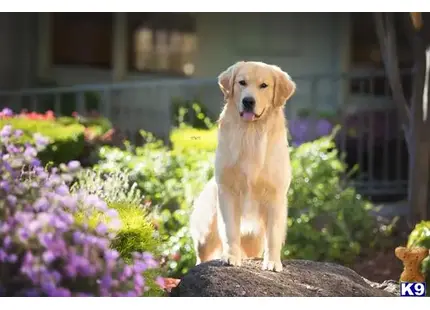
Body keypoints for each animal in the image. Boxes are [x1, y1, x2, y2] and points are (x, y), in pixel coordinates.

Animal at [189, 60, 296, 272]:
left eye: (264, 85)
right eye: (242, 83)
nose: (248, 101)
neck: (251, 133)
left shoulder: (275, 197)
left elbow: (273, 236)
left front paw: (272, 262)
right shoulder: (229, 192)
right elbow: (230, 231)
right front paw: (231, 257)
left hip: (253, 239)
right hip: (206, 232)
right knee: (201, 256)